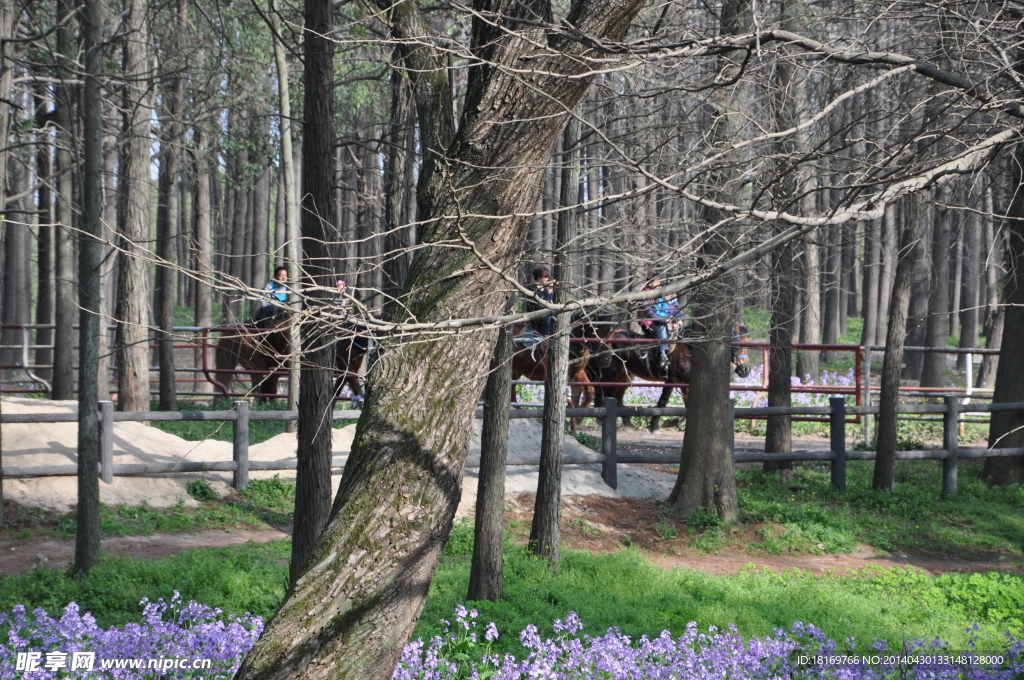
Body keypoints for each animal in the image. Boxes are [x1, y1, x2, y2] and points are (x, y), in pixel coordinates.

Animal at [212, 323, 368, 401]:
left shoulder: (344, 373)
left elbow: (338, 392)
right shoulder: (347, 371)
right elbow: (356, 389)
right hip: (266, 368)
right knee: (267, 389)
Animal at [585, 323, 753, 430]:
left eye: (748, 344)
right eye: (738, 346)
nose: (746, 369)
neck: (689, 347)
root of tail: (610, 335)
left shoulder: (686, 382)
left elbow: (688, 405)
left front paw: (671, 422)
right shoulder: (671, 380)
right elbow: (663, 402)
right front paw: (654, 425)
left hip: (625, 376)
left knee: (616, 396)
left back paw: (627, 424)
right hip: (612, 371)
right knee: (601, 390)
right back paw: (600, 420)